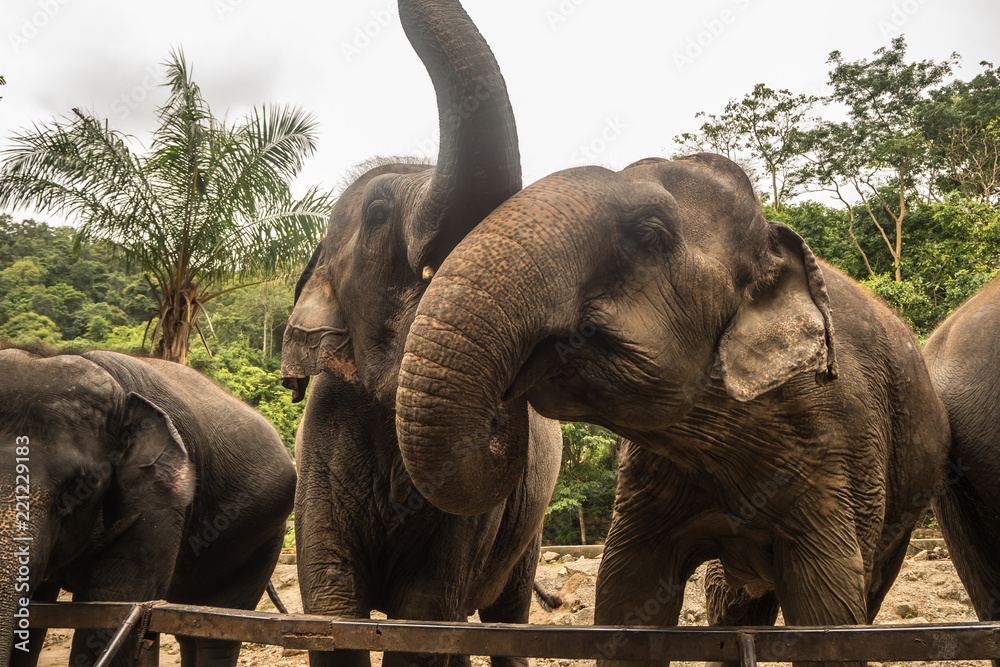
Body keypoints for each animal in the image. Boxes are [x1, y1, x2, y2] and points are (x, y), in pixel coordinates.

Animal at [280, 1, 564, 667]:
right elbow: (332, 610)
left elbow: (424, 615)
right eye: (380, 213)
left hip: (527, 535)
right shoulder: (320, 448)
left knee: (504, 617)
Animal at [394, 155, 948, 667]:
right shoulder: (649, 475)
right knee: (731, 603)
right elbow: (627, 592)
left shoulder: (840, 447)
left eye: (650, 234)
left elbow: (828, 613)